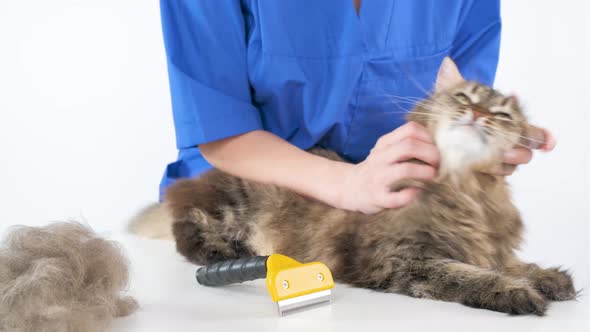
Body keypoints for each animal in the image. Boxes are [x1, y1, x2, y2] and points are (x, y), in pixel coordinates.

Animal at [131, 57, 580, 316]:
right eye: (463, 97)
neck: (464, 191)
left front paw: (545, 276)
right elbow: (467, 275)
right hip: (225, 202)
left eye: (502, 115)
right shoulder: (400, 259)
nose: (477, 114)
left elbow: (503, 260)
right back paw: (226, 250)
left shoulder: (486, 243)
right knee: (187, 229)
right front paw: (515, 291)